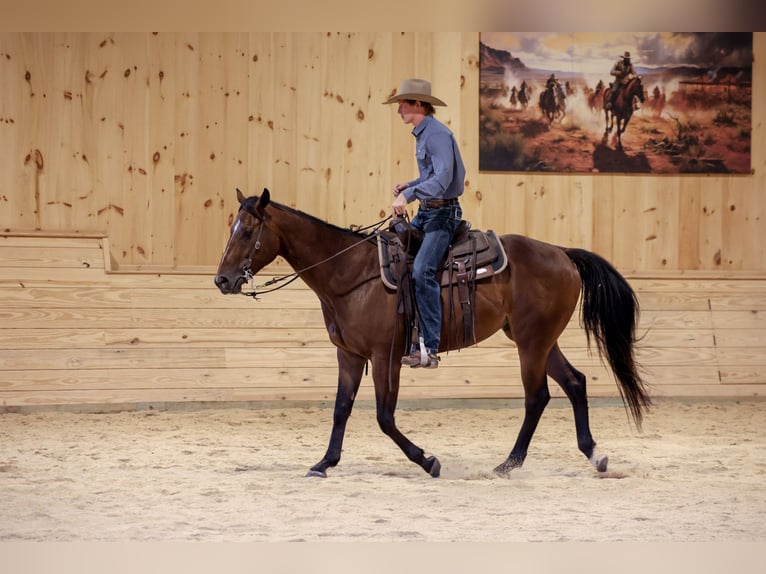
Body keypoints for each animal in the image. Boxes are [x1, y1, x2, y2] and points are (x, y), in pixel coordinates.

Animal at [214, 188, 651, 478]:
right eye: (230, 228)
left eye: (248, 231)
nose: (222, 280)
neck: (351, 274)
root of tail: (563, 253)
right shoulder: (349, 355)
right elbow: (341, 409)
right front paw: (324, 463)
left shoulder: (385, 356)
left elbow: (384, 417)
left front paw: (428, 461)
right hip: (540, 340)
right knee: (574, 383)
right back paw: (593, 455)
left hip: (532, 342)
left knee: (537, 396)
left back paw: (509, 463)